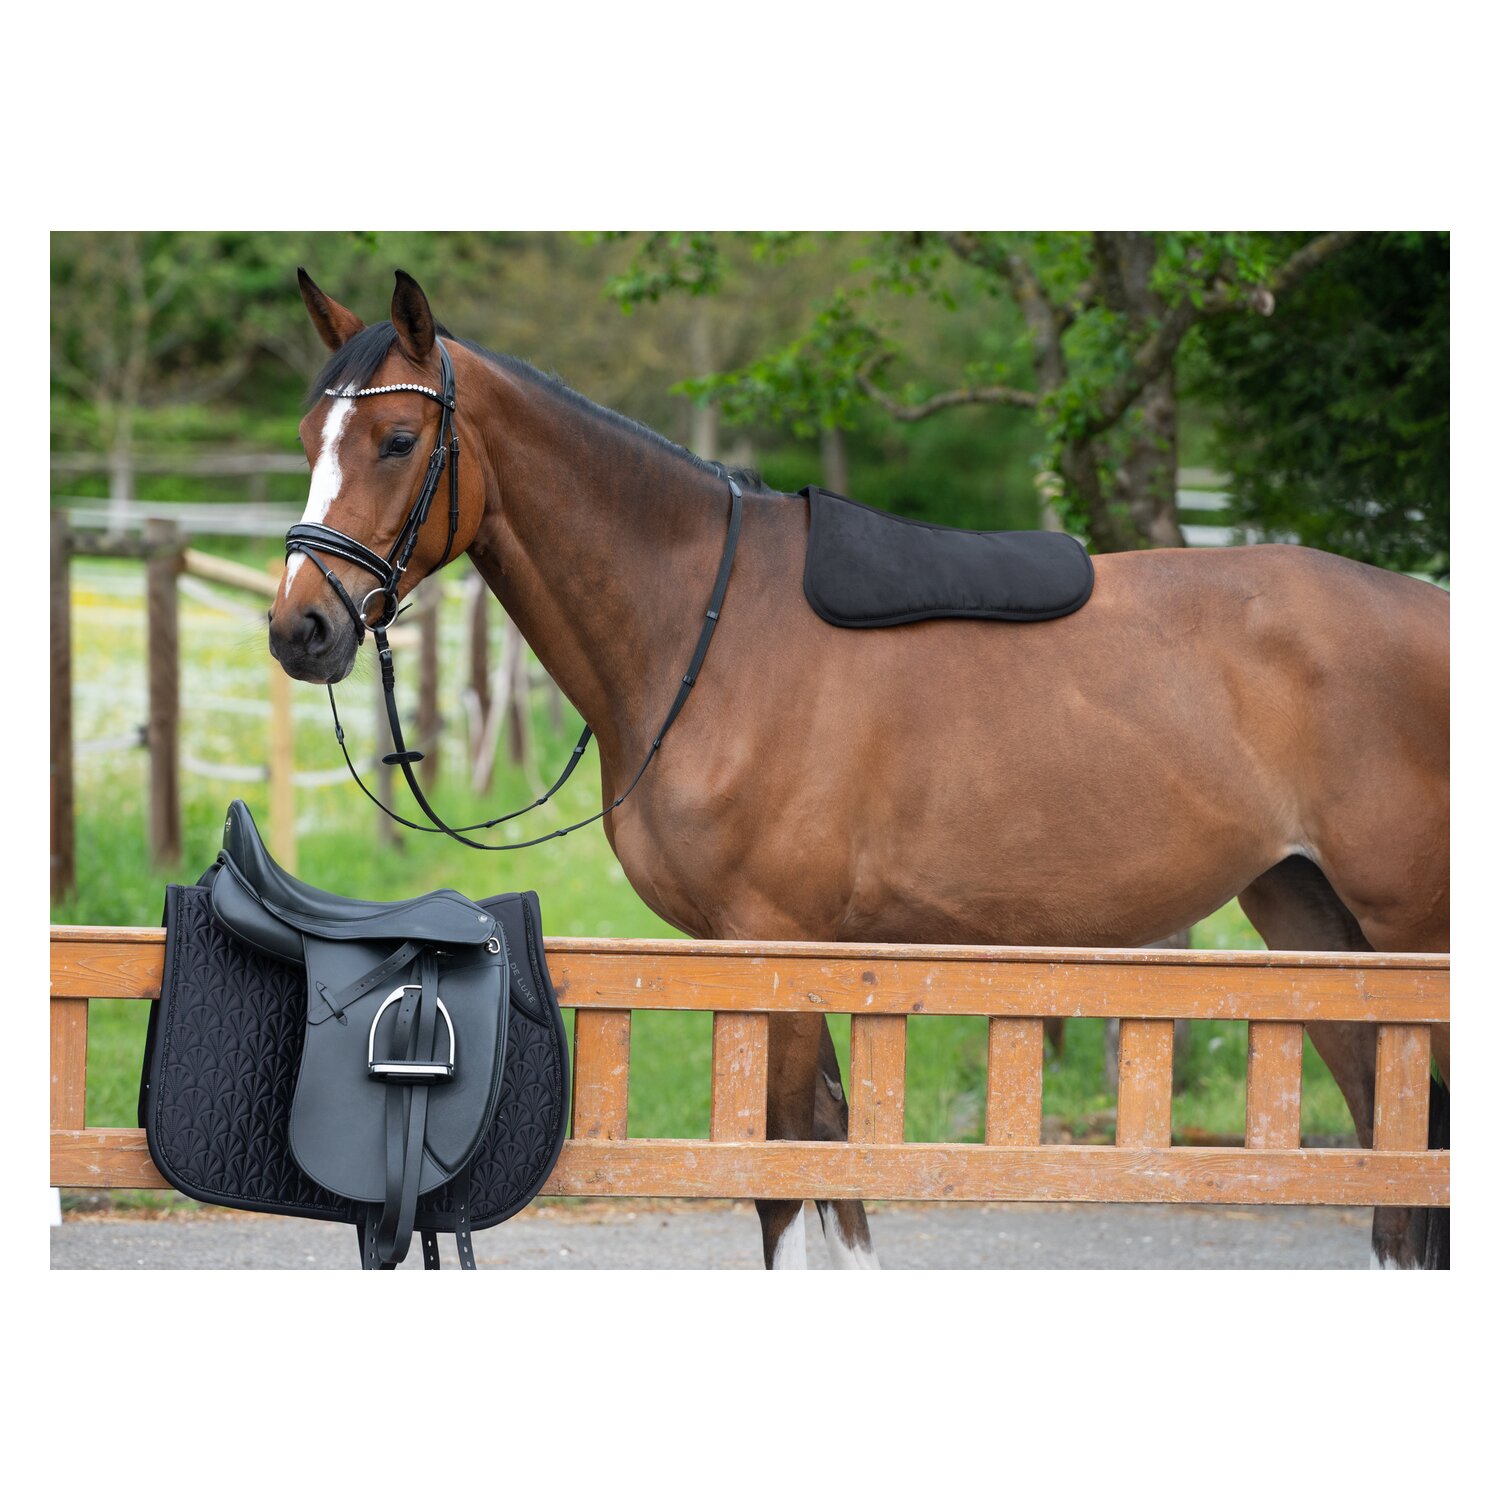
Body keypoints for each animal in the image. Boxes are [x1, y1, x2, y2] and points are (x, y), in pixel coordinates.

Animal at [270, 270, 1450, 1270]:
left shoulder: (774, 947)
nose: (301, 630)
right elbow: (831, 1183)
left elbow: (787, 1178)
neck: (705, 626)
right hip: (1314, 927)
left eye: (398, 437)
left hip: (1406, 935)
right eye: (309, 434)